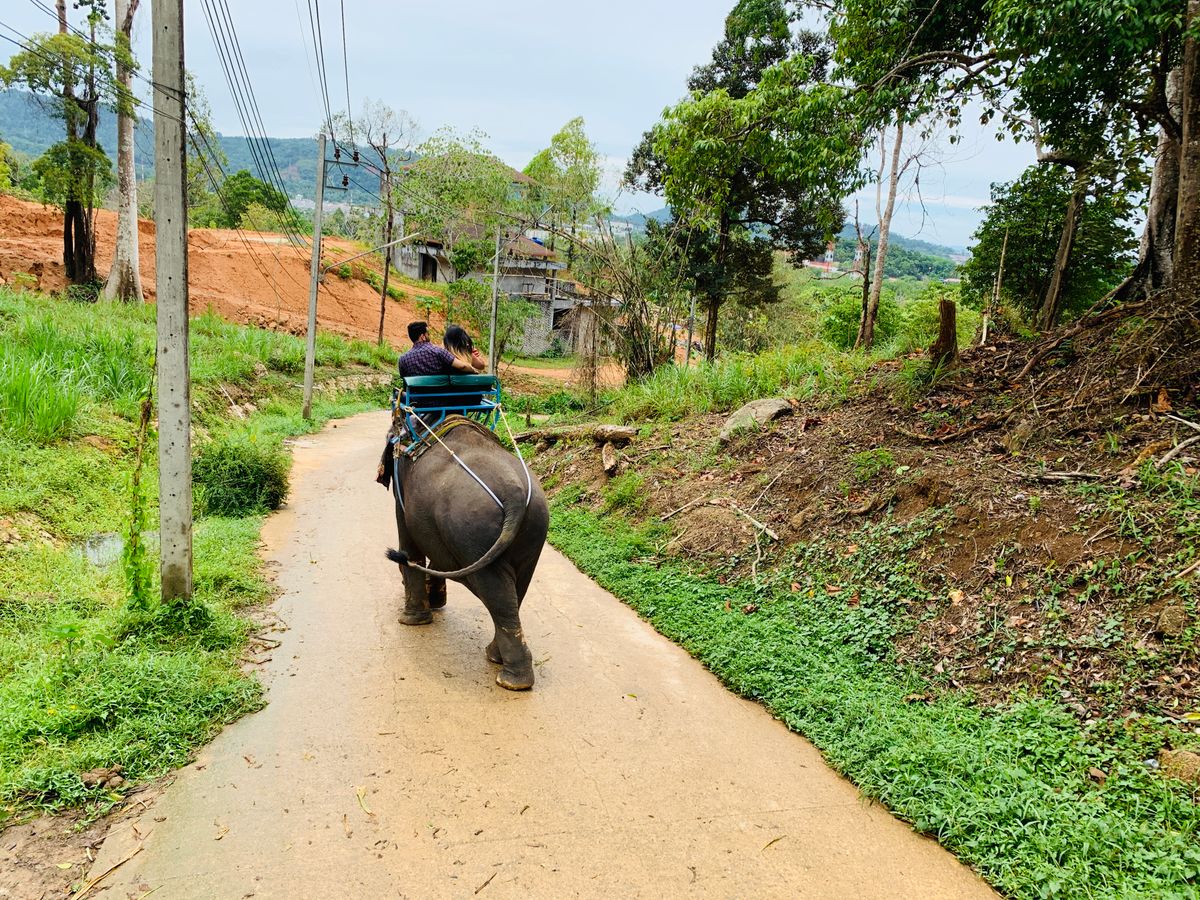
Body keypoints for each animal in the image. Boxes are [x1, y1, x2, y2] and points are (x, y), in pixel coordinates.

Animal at [385, 416, 549, 690]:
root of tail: (514, 493)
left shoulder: (402, 487)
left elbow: (409, 544)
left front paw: (410, 620)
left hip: (472, 530)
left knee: (493, 590)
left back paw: (511, 681)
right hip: (533, 529)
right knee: (512, 591)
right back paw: (499, 660)